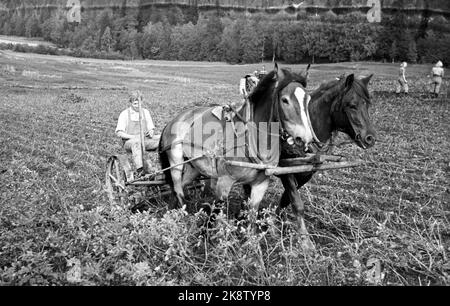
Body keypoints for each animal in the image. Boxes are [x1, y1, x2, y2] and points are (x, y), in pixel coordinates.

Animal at [159, 64, 312, 218]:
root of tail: (175, 119)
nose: (305, 137)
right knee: (178, 189)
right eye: (285, 100)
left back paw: (171, 212)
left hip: (194, 166)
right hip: (176, 163)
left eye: (308, 99)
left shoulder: (260, 185)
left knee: (181, 186)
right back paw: (182, 216)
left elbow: (251, 216)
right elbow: (216, 214)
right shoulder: (224, 181)